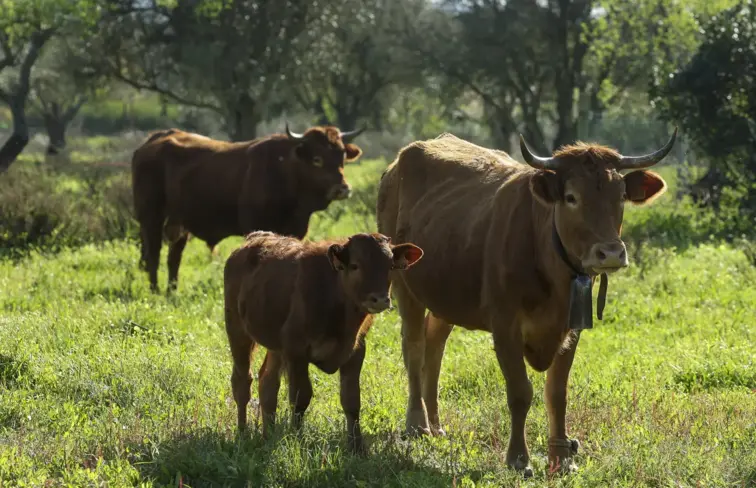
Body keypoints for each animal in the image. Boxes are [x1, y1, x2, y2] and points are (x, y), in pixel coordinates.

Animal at [131, 124, 365, 292]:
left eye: (342, 156)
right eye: (317, 159)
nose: (342, 188)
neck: (286, 171)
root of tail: (153, 140)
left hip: (180, 222)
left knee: (174, 257)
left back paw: (172, 291)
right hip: (151, 216)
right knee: (154, 253)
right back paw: (154, 289)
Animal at [223, 231, 424, 454]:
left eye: (390, 266)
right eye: (355, 265)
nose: (380, 299)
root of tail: (255, 238)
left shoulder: (355, 352)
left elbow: (351, 400)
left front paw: (357, 447)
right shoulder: (296, 352)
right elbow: (300, 398)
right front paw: (296, 440)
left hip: (275, 347)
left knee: (267, 383)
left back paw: (268, 436)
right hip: (237, 330)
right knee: (242, 382)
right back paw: (242, 433)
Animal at [376, 128, 677, 476]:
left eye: (621, 196)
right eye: (571, 197)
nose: (611, 253)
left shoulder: (571, 328)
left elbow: (556, 393)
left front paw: (562, 459)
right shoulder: (505, 327)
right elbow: (520, 393)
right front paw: (518, 458)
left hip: (445, 296)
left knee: (434, 348)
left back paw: (437, 425)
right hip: (404, 286)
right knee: (413, 348)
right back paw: (417, 424)